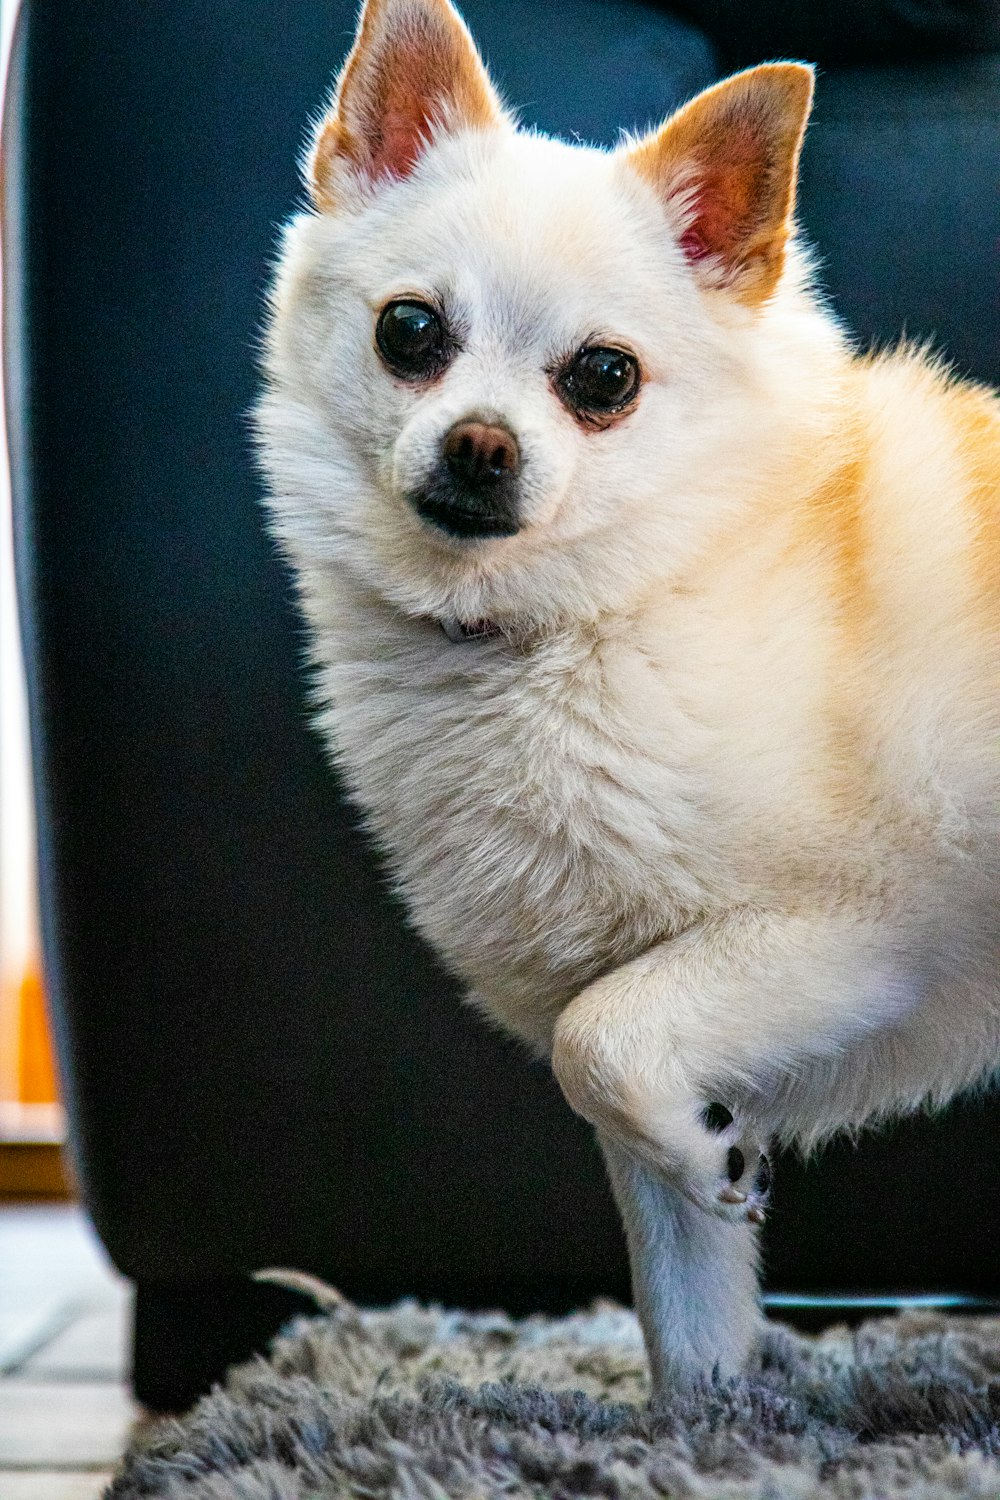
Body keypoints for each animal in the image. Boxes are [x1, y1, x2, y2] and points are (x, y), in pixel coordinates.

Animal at [251, 0, 1000, 1392]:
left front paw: (714, 1156)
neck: (582, 622)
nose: (479, 445)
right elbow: (681, 1291)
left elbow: (597, 1043)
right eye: (409, 333)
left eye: (604, 379)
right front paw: (707, 1416)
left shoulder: (864, 929)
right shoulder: (652, 1008)